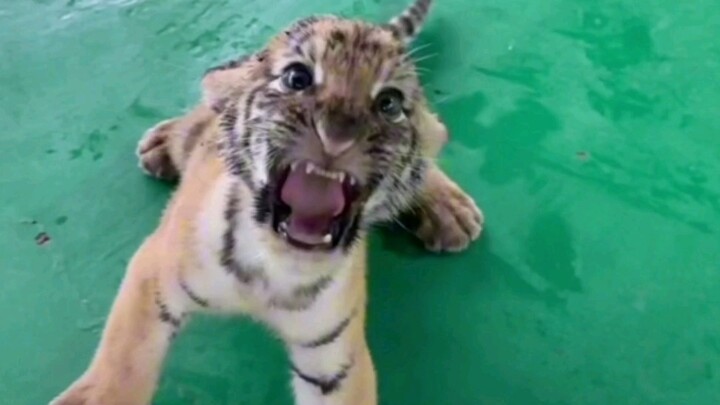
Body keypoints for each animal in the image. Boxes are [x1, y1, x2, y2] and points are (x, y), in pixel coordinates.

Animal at [50, 0, 483, 404]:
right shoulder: (154, 270)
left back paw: (451, 210)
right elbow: (125, 359)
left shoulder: (335, 357)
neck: (273, 272)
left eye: (389, 103)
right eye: (297, 78)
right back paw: (162, 144)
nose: (338, 134)